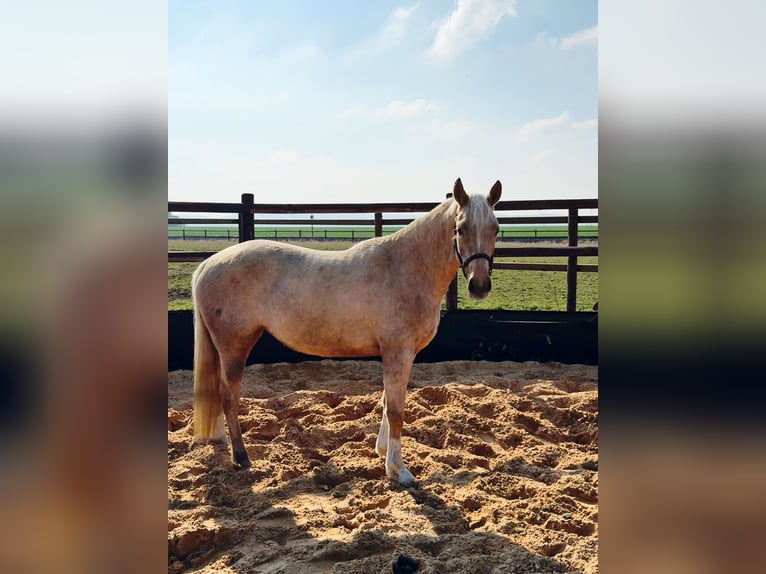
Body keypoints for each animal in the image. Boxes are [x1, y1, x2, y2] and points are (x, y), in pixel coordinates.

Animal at [191, 178, 500, 488]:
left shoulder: (398, 355)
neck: (406, 267)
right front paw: (399, 470)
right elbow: (396, 409)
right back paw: (241, 457)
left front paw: (382, 452)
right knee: (228, 395)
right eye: (460, 228)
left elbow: (386, 402)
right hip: (235, 346)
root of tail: (207, 265)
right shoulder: (398, 352)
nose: (479, 286)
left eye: (496, 228)